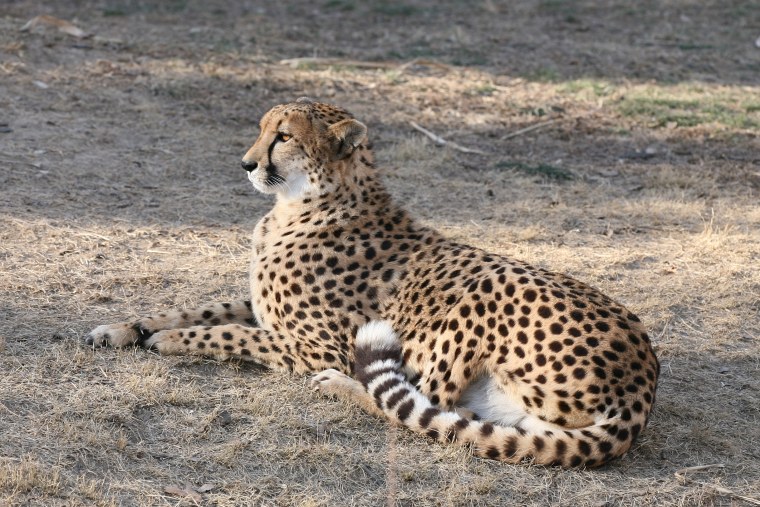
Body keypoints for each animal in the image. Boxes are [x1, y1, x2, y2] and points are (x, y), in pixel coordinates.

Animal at [87, 97, 659, 468]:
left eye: (284, 136)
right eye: (261, 129)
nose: (246, 163)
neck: (302, 205)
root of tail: (643, 375)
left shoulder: (319, 345)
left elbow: (229, 333)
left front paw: (169, 340)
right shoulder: (261, 308)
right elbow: (202, 308)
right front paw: (124, 328)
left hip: (484, 287)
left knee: (418, 402)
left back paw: (338, 386)